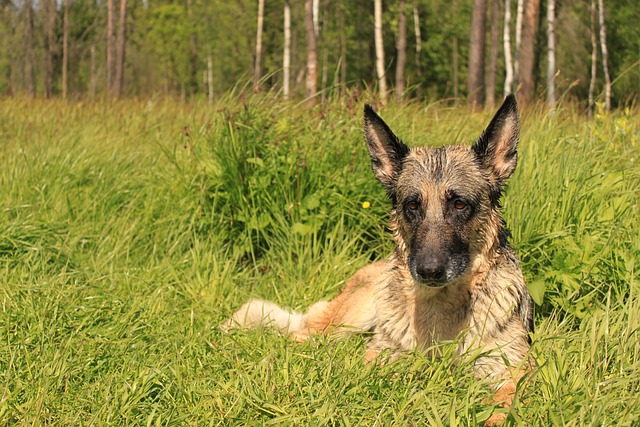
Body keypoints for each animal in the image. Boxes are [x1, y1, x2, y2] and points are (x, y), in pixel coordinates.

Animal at [222, 95, 532, 422]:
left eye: (460, 204)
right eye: (412, 205)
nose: (429, 271)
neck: (441, 306)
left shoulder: (514, 372)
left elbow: (501, 408)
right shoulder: (379, 357)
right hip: (350, 318)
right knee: (302, 337)